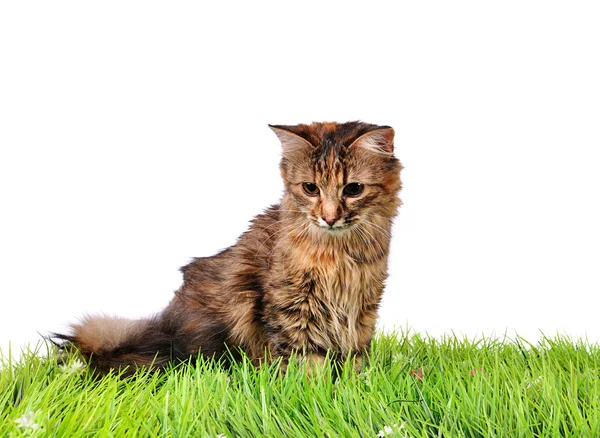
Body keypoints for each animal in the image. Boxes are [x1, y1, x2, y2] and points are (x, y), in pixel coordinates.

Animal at [55, 121, 404, 374]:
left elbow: (355, 357)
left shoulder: (363, 308)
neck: (341, 255)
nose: (329, 217)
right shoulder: (291, 306)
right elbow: (306, 360)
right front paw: (314, 394)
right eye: (310, 188)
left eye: (354, 189)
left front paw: (353, 388)